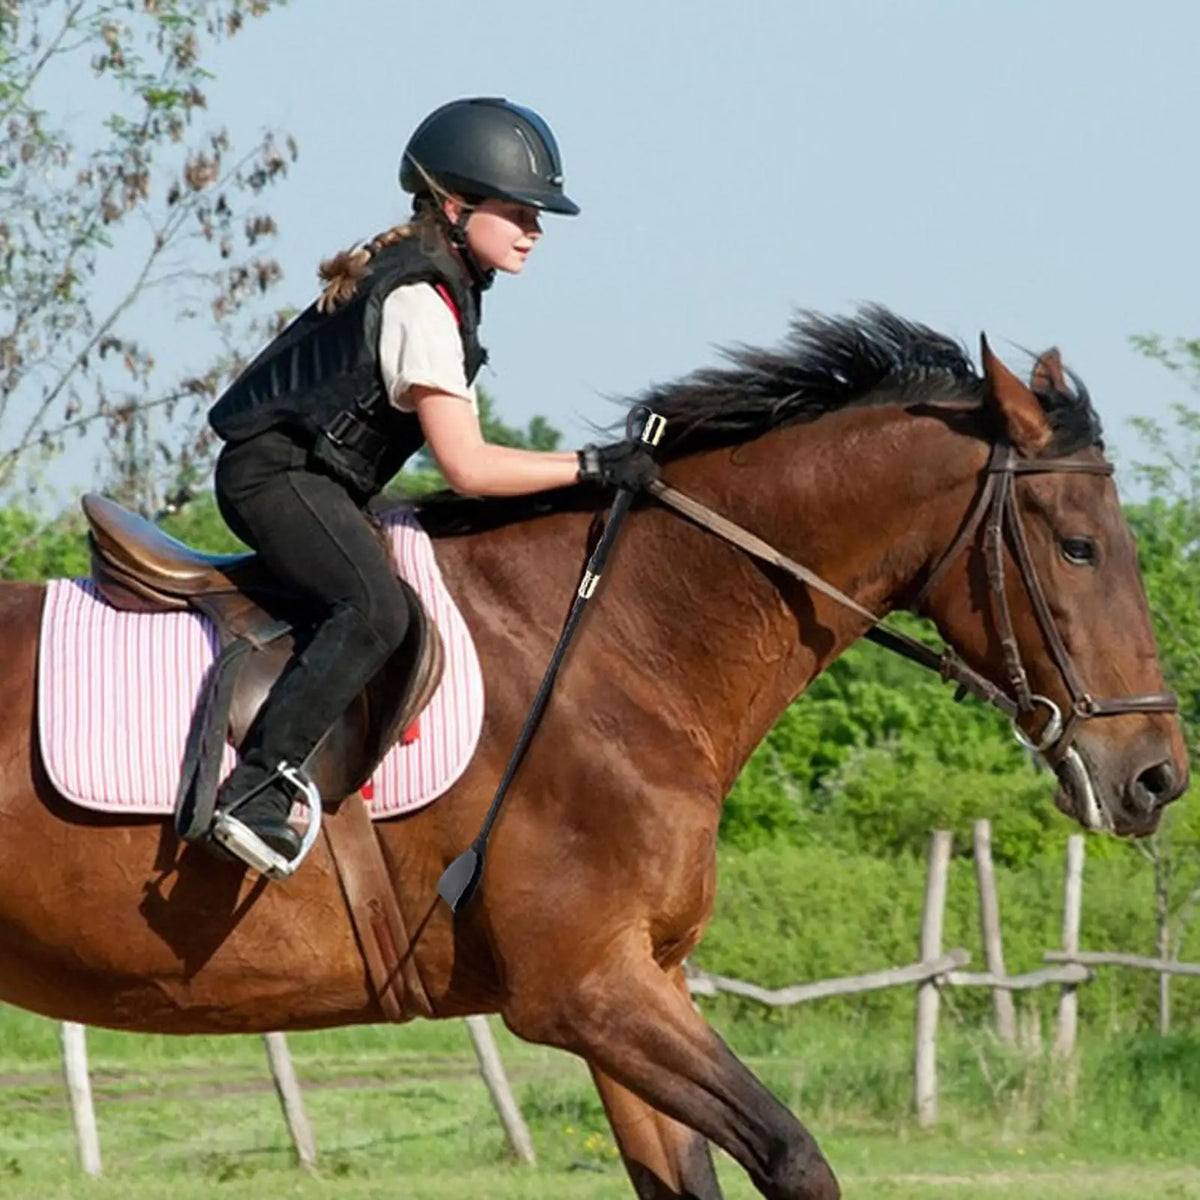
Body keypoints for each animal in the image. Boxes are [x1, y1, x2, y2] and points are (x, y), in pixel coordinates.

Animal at [0, 308, 1185, 1199]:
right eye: (1079, 546)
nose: (1155, 776)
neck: (625, 647)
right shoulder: (586, 990)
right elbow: (796, 1159)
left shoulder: (640, 985)